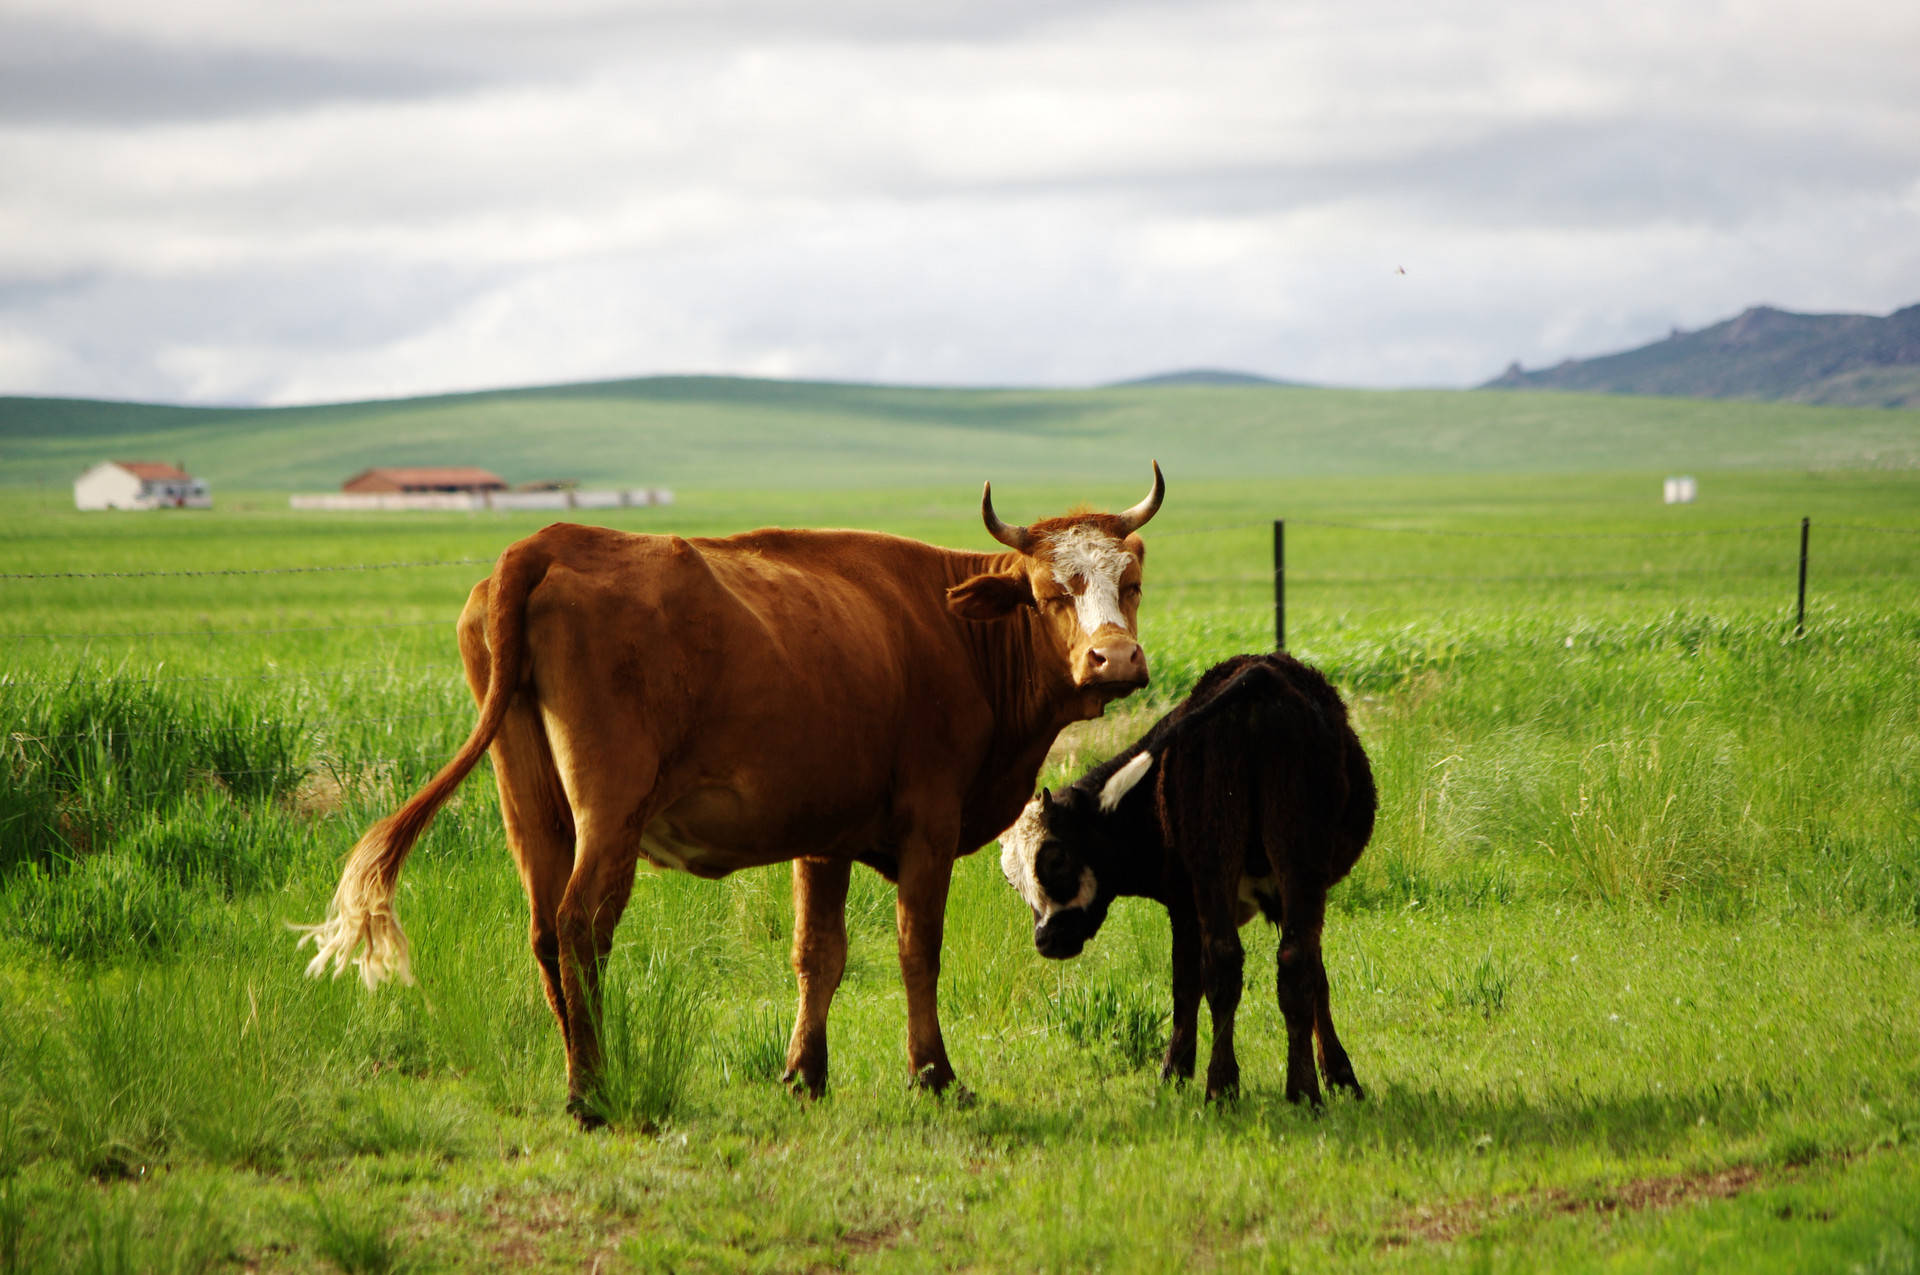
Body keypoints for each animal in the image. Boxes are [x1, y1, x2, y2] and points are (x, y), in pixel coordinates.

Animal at [291, 466, 1159, 1113]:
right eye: (1050, 590)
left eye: (1134, 582)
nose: (1114, 659)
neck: (953, 632)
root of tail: (548, 542)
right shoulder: (929, 825)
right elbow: (918, 949)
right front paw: (935, 1075)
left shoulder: (825, 833)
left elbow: (819, 953)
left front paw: (806, 1074)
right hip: (610, 807)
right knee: (580, 925)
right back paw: (592, 1090)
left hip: (530, 802)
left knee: (542, 929)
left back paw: (581, 1072)